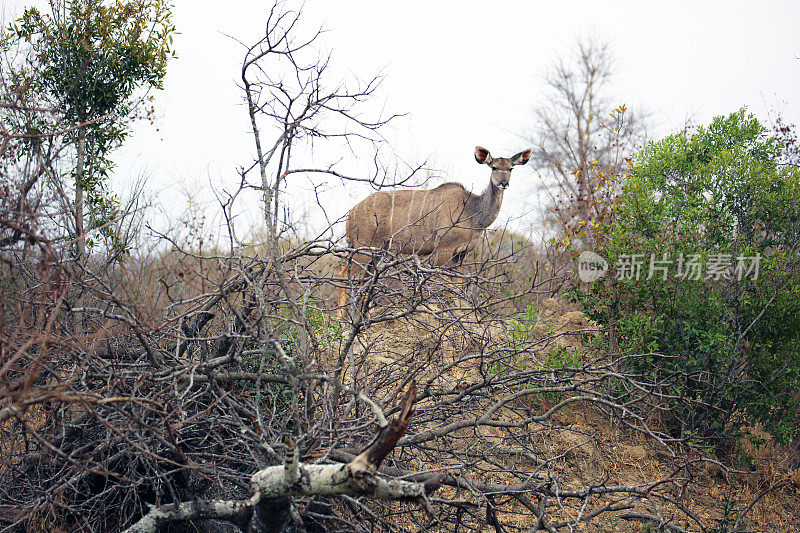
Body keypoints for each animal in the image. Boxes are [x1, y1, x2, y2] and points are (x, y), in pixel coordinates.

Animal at [338, 147, 532, 316]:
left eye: (511, 168)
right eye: (494, 167)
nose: (504, 183)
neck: (471, 212)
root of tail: (351, 214)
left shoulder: (461, 254)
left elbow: (458, 284)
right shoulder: (443, 250)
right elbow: (446, 284)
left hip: (375, 252)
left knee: (359, 277)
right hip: (363, 248)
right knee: (348, 276)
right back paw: (343, 321)